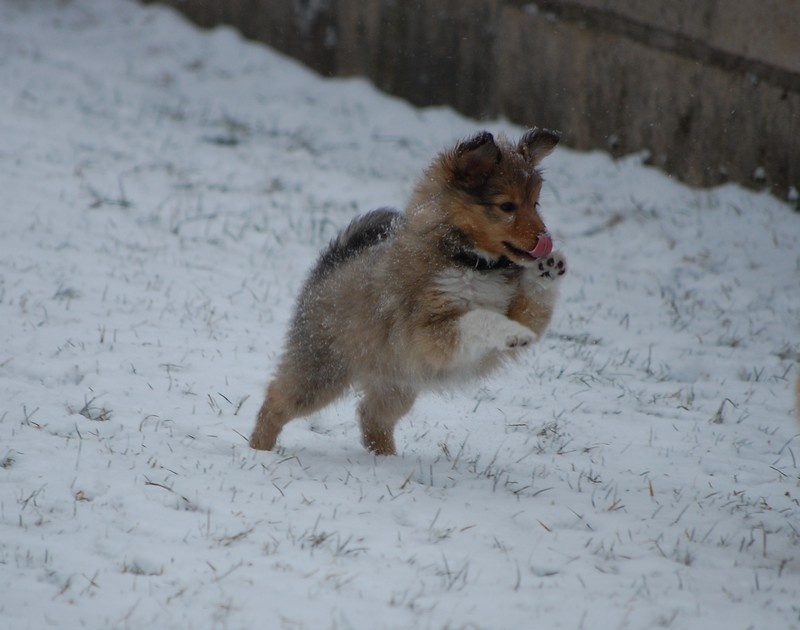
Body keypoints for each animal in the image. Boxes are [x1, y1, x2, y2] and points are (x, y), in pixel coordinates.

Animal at [250, 128, 568, 456]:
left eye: (535, 203)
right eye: (506, 206)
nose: (546, 240)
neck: (470, 261)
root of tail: (331, 263)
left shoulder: (514, 309)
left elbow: (533, 311)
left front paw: (547, 270)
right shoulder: (429, 331)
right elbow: (478, 317)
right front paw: (511, 332)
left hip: (397, 383)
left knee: (371, 417)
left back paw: (386, 459)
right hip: (322, 371)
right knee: (276, 401)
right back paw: (259, 450)